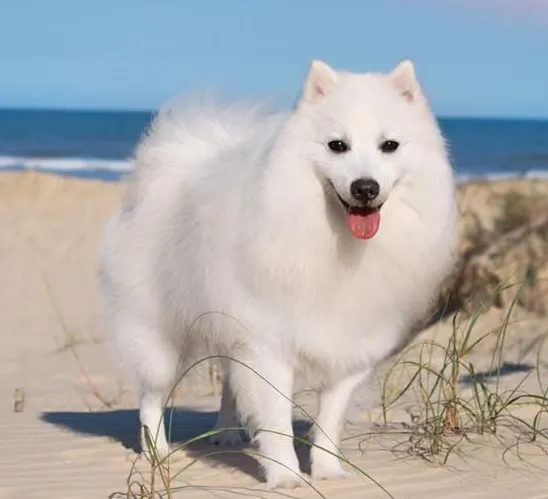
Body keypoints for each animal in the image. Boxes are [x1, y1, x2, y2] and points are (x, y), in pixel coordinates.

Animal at [98, 60, 458, 490]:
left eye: (390, 145)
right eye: (337, 145)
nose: (365, 188)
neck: (332, 242)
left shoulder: (350, 347)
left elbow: (329, 419)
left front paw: (327, 471)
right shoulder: (267, 347)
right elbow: (276, 421)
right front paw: (286, 476)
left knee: (228, 384)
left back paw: (226, 434)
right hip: (159, 333)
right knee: (152, 396)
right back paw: (158, 454)